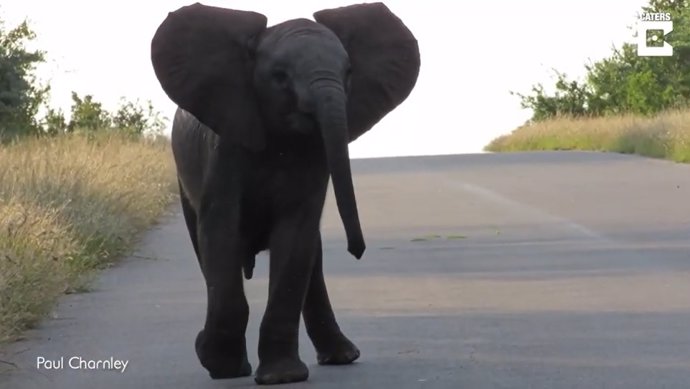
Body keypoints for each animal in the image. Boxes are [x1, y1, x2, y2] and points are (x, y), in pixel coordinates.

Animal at [149, 1, 420, 384]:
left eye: (349, 71)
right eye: (279, 76)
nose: (357, 250)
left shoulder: (313, 157)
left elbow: (295, 238)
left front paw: (281, 377)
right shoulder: (223, 149)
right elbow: (220, 232)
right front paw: (221, 366)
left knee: (311, 256)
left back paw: (342, 356)